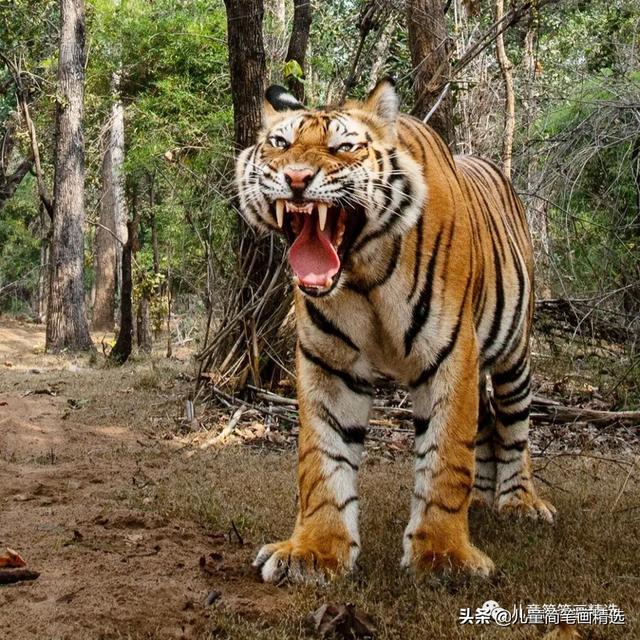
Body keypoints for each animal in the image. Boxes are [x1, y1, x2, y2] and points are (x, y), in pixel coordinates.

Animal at [236, 78, 556, 584]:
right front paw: (314, 552)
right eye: (280, 144)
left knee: (515, 424)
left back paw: (520, 501)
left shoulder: (451, 355)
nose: (297, 179)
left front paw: (444, 557)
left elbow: (446, 455)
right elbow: (322, 459)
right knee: (487, 418)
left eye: (343, 147)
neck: (362, 273)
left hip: (514, 353)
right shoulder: (328, 362)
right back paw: (482, 498)